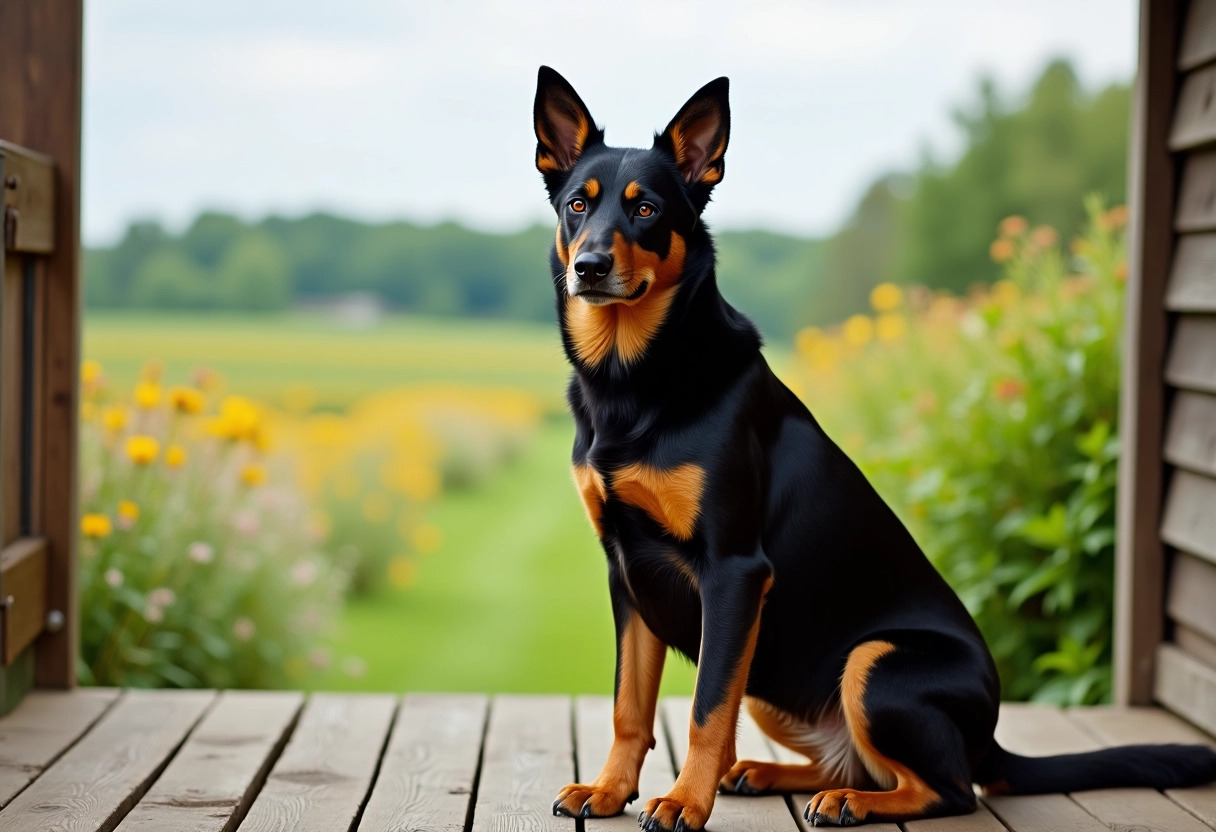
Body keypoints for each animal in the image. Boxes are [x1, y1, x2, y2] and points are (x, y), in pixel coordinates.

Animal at [535, 68, 1216, 827]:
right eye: (576, 206)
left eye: (647, 209)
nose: (590, 267)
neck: (635, 379)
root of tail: (991, 737)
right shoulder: (627, 573)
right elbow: (630, 705)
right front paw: (608, 789)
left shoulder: (734, 572)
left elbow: (705, 711)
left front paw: (684, 801)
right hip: (775, 678)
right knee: (853, 761)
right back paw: (770, 776)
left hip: (871, 660)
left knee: (947, 789)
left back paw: (849, 802)